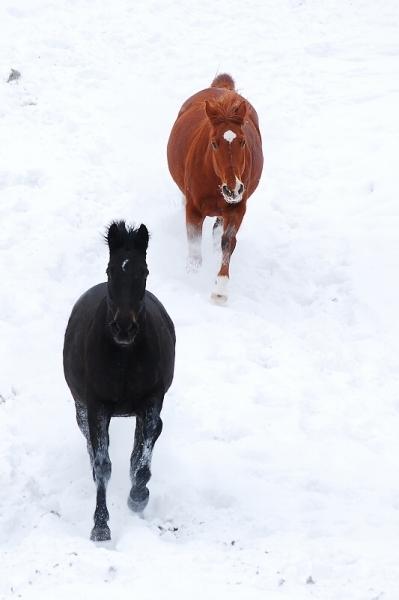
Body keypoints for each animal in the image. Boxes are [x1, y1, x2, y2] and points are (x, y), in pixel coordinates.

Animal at [63, 221, 175, 544]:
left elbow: (142, 458)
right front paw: (101, 526)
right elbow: (102, 465)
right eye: (111, 270)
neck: (124, 357)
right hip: (81, 409)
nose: (124, 327)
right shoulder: (96, 406)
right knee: (94, 447)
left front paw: (138, 497)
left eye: (144, 271)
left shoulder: (151, 401)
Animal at [167, 72, 264, 302]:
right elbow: (194, 244)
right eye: (213, 143)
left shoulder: (237, 208)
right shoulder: (193, 209)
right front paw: (192, 276)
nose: (233, 189)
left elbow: (228, 242)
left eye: (243, 141)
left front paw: (220, 290)